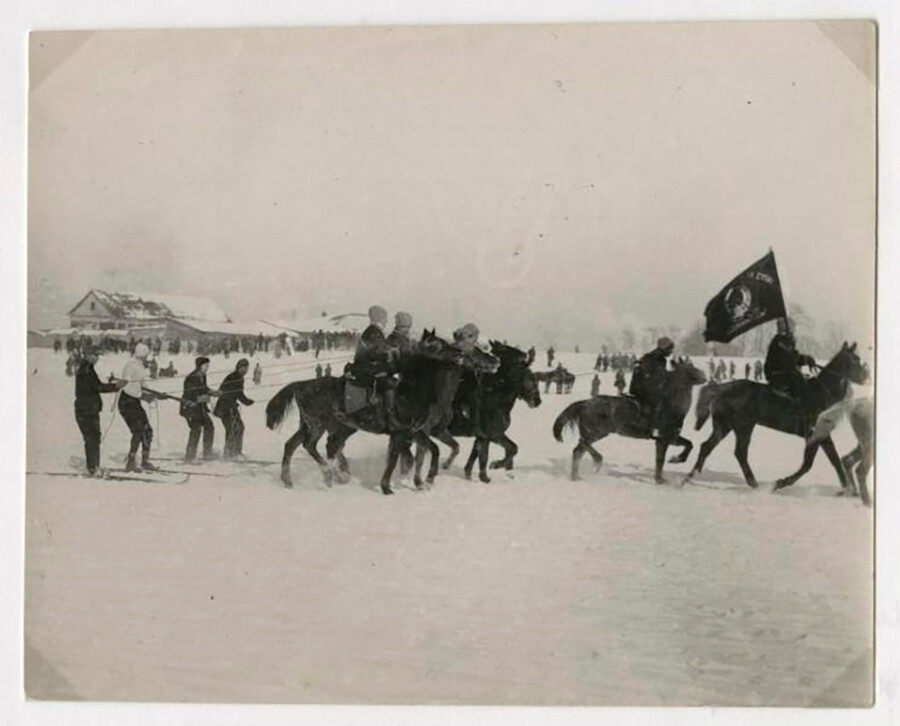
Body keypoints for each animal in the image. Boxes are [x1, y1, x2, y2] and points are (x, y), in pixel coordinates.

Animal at [264, 332, 500, 498]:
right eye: (439, 345)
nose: (495, 361)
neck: (415, 391)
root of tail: (301, 385)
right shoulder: (405, 432)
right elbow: (408, 456)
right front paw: (394, 485)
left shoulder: (412, 432)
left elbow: (422, 453)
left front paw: (418, 481)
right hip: (317, 424)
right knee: (312, 445)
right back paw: (329, 475)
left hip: (324, 425)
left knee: (302, 445)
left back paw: (303, 479)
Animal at [428, 342, 540, 490]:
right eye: (529, 378)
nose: (537, 401)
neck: (495, 398)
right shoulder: (494, 434)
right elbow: (510, 448)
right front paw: (496, 466)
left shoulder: (482, 437)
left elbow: (478, 455)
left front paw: (477, 475)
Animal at [552, 358, 708, 484]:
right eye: (688, 368)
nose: (704, 376)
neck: (670, 404)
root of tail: (585, 403)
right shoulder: (665, 438)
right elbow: (663, 459)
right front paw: (664, 473)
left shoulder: (670, 437)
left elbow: (687, 445)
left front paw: (671, 465)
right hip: (596, 432)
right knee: (581, 446)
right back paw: (594, 463)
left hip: (595, 433)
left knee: (579, 450)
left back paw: (577, 476)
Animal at [684, 342, 868, 492]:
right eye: (855, 359)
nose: (866, 376)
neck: (821, 392)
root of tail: (721, 388)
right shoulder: (814, 435)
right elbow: (807, 465)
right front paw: (780, 483)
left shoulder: (823, 435)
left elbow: (834, 460)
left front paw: (848, 489)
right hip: (744, 427)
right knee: (740, 453)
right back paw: (754, 483)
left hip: (724, 426)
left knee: (707, 447)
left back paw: (690, 476)